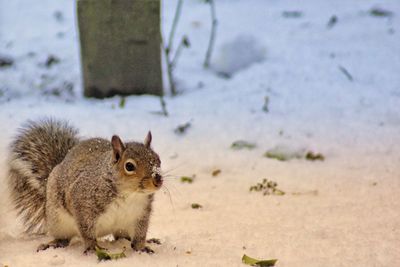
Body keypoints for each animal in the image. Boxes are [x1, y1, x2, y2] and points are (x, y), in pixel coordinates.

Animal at [6, 118, 162, 254]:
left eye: (158, 160)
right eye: (129, 166)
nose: (158, 180)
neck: (130, 194)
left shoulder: (141, 213)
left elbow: (139, 235)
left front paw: (142, 248)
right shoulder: (82, 202)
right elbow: (86, 230)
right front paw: (93, 247)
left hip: (122, 226)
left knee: (122, 237)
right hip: (58, 221)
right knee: (64, 238)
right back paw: (53, 244)